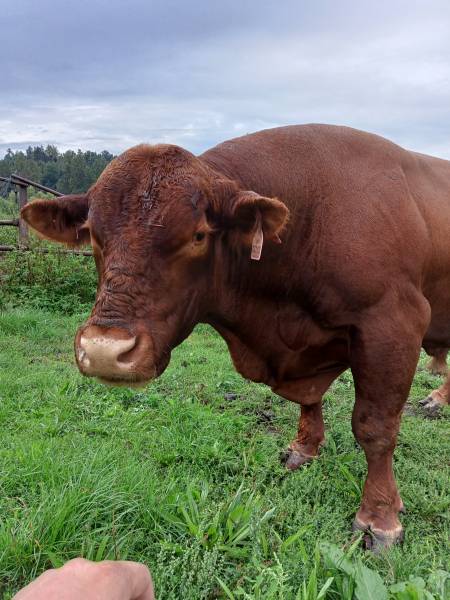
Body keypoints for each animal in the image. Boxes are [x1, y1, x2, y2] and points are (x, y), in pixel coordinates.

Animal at [21, 124, 450, 551]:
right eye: (93, 235)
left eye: (198, 236)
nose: (104, 351)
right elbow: (311, 401)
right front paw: (304, 448)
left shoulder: (393, 324)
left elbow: (375, 427)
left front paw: (380, 516)